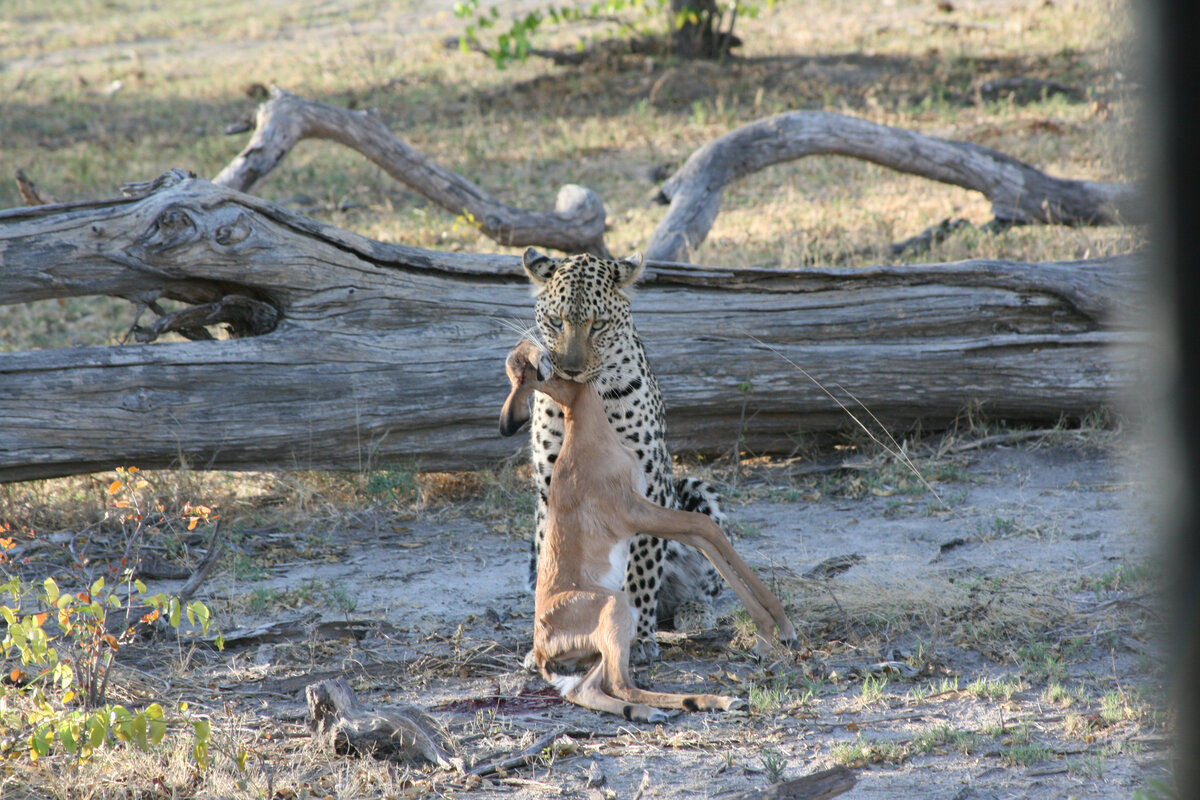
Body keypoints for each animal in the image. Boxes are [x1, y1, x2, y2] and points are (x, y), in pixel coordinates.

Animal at [506, 247, 729, 662]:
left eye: (599, 325)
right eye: (556, 321)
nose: (570, 371)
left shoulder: (647, 486)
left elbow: (640, 569)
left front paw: (637, 639)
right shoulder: (550, 487)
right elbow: (552, 567)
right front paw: (548, 640)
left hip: (696, 491)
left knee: (707, 584)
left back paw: (693, 612)